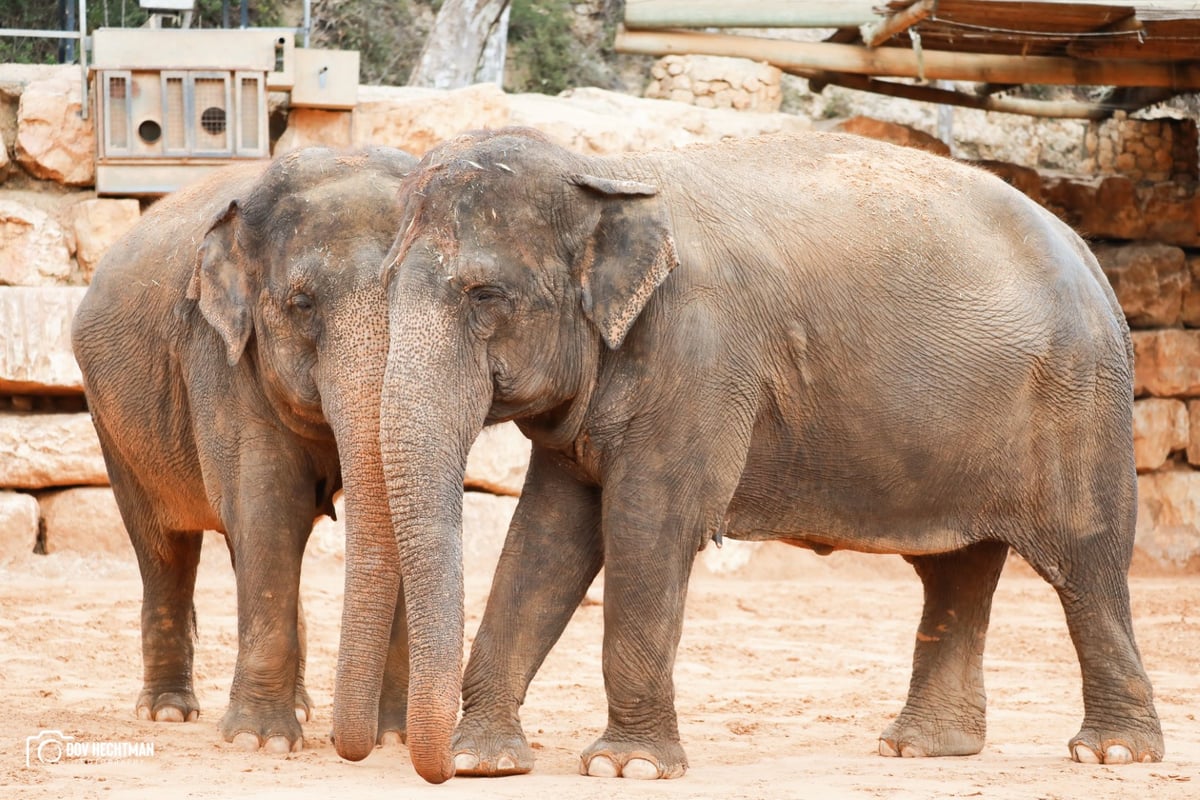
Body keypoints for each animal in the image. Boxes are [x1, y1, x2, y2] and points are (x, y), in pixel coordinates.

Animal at [72, 146, 417, 753]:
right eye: (301, 304)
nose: (350, 742)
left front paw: (393, 739)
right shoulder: (218, 352)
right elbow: (266, 506)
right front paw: (262, 742)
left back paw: (301, 708)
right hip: (112, 425)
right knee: (164, 550)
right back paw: (168, 712)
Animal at [333, 126, 1166, 782]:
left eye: (485, 296)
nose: (387, 753)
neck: (604, 172)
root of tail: (1088, 253)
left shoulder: (701, 359)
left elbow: (647, 526)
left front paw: (626, 767)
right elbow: (545, 539)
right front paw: (485, 760)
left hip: (1080, 397)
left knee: (1087, 560)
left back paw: (1111, 753)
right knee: (955, 569)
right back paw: (920, 749)